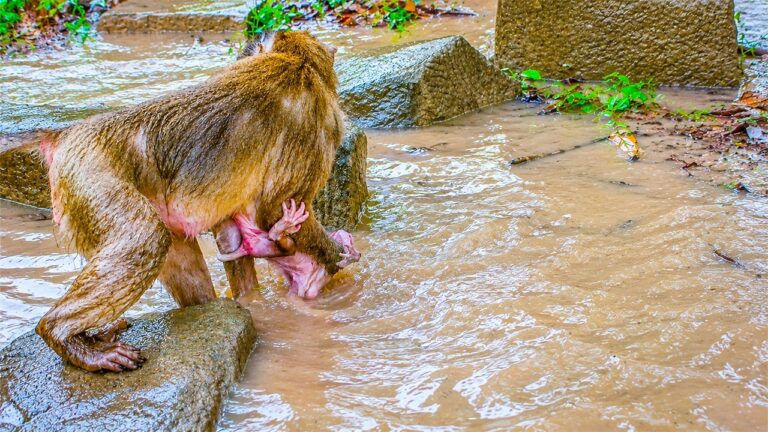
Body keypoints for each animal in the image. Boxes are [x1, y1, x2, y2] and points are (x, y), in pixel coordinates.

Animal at [35, 30, 360, 372]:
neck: (295, 58)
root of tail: (65, 137)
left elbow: (228, 226)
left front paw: (251, 297)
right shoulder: (317, 120)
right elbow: (275, 208)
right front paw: (335, 254)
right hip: (90, 174)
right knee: (147, 239)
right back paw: (63, 335)